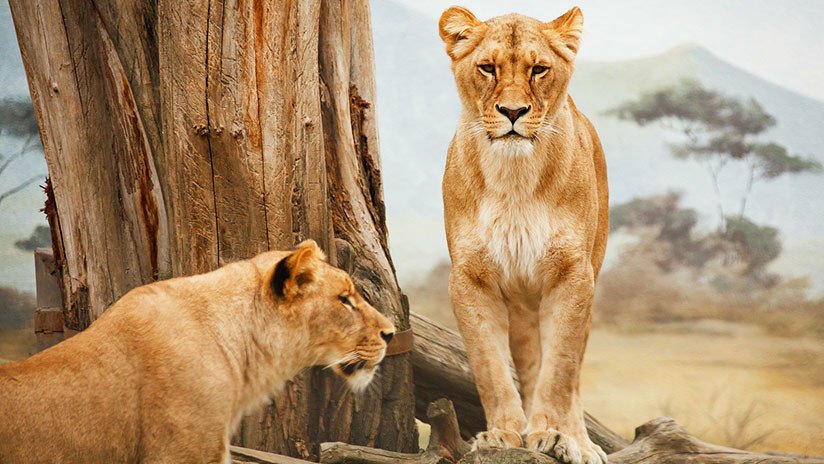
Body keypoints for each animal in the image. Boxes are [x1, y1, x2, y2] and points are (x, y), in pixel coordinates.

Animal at [438, 6, 609, 464]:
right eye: (487, 67)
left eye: (538, 69)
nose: (512, 112)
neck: (514, 177)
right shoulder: (470, 278)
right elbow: (490, 367)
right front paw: (503, 434)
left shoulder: (573, 275)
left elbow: (560, 369)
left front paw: (552, 433)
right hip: (521, 305)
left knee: (573, 372)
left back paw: (580, 442)